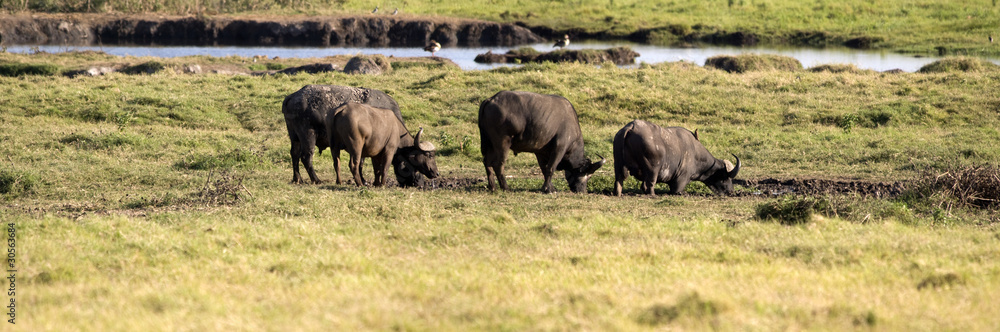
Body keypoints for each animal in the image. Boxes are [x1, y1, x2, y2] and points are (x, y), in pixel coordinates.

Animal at [608, 119, 744, 196]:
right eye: (725, 177)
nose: (731, 192)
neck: (696, 155)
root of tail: (631, 127)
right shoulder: (681, 179)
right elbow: (676, 190)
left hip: (618, 164)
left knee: (618, 181)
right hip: (653, 168)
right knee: (648, 184)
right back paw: (652, 195)